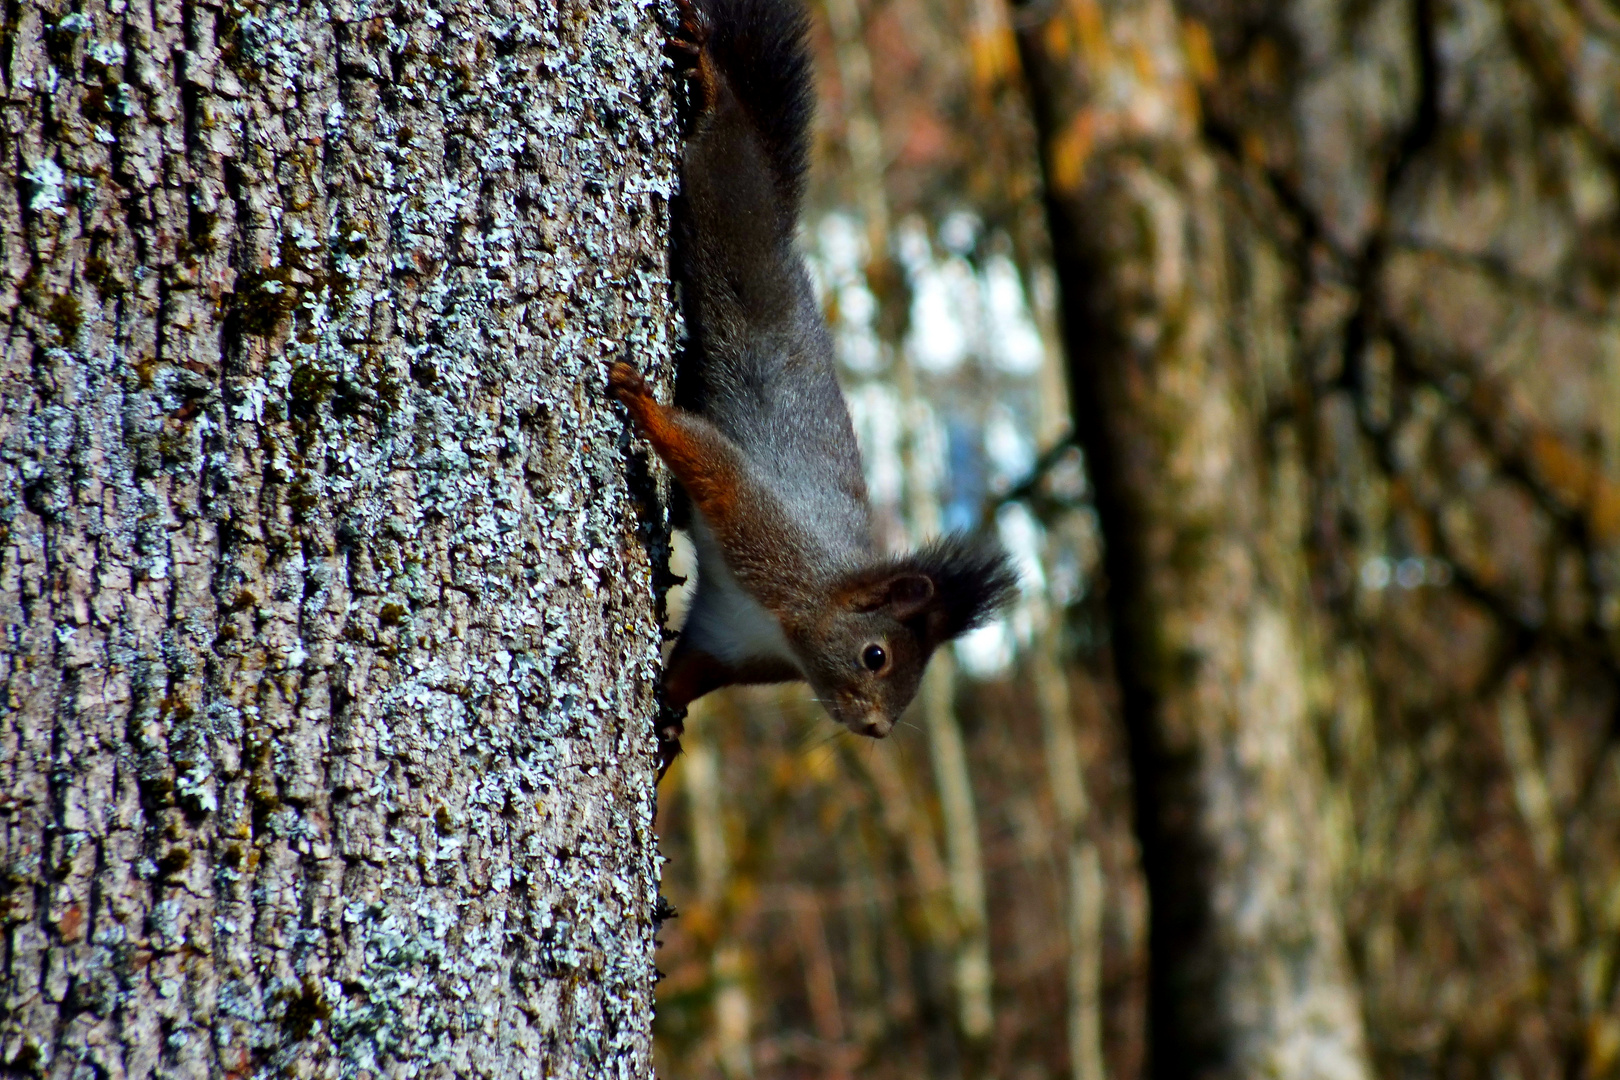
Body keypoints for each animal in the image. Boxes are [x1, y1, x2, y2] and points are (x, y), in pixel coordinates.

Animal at [609, 0, 1010, 773]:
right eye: (876, 655)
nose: (878, 728)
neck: (792, 618)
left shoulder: (727, 641)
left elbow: (687, 674)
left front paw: (667, 725)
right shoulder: (764, 534)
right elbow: (711, 460)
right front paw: (640, 399)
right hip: (732, 219)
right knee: (730, 148)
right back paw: (712, 80)